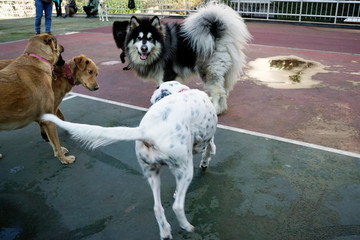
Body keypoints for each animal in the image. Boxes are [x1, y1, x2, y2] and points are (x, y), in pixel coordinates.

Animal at [0, 34, 98, 163]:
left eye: (96, 74)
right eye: (90, 71)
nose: (97, 87)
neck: (64, 75)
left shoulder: (52, 108)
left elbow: (58, 122)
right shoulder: (51, 110)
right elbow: (55, 134)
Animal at [41, 81, 218, 240]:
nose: (153, 92)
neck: (181, 91)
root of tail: (146, 131)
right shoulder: (206, 142)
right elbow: (209, 149)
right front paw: (205, 162)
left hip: (153, 173)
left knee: (157, 208)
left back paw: (166, 232)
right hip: (185, 170)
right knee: (177, 206)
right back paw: (187, 226)